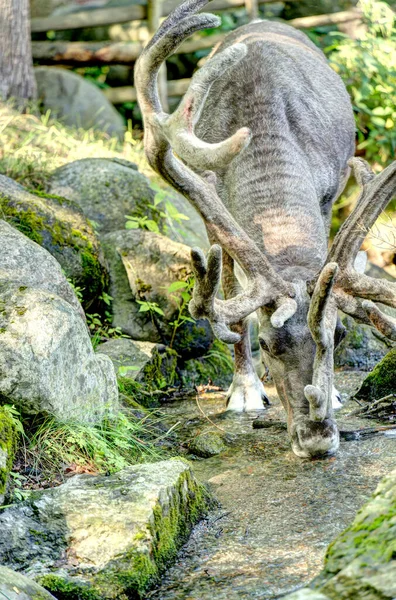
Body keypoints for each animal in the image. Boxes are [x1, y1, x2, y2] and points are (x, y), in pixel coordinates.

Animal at [135, 0, 396, 458]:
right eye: (269, 346)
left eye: (340, 335)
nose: (317, 438)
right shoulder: (213, 211)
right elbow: (232, 304)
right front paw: (244, 390)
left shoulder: (328, 195)